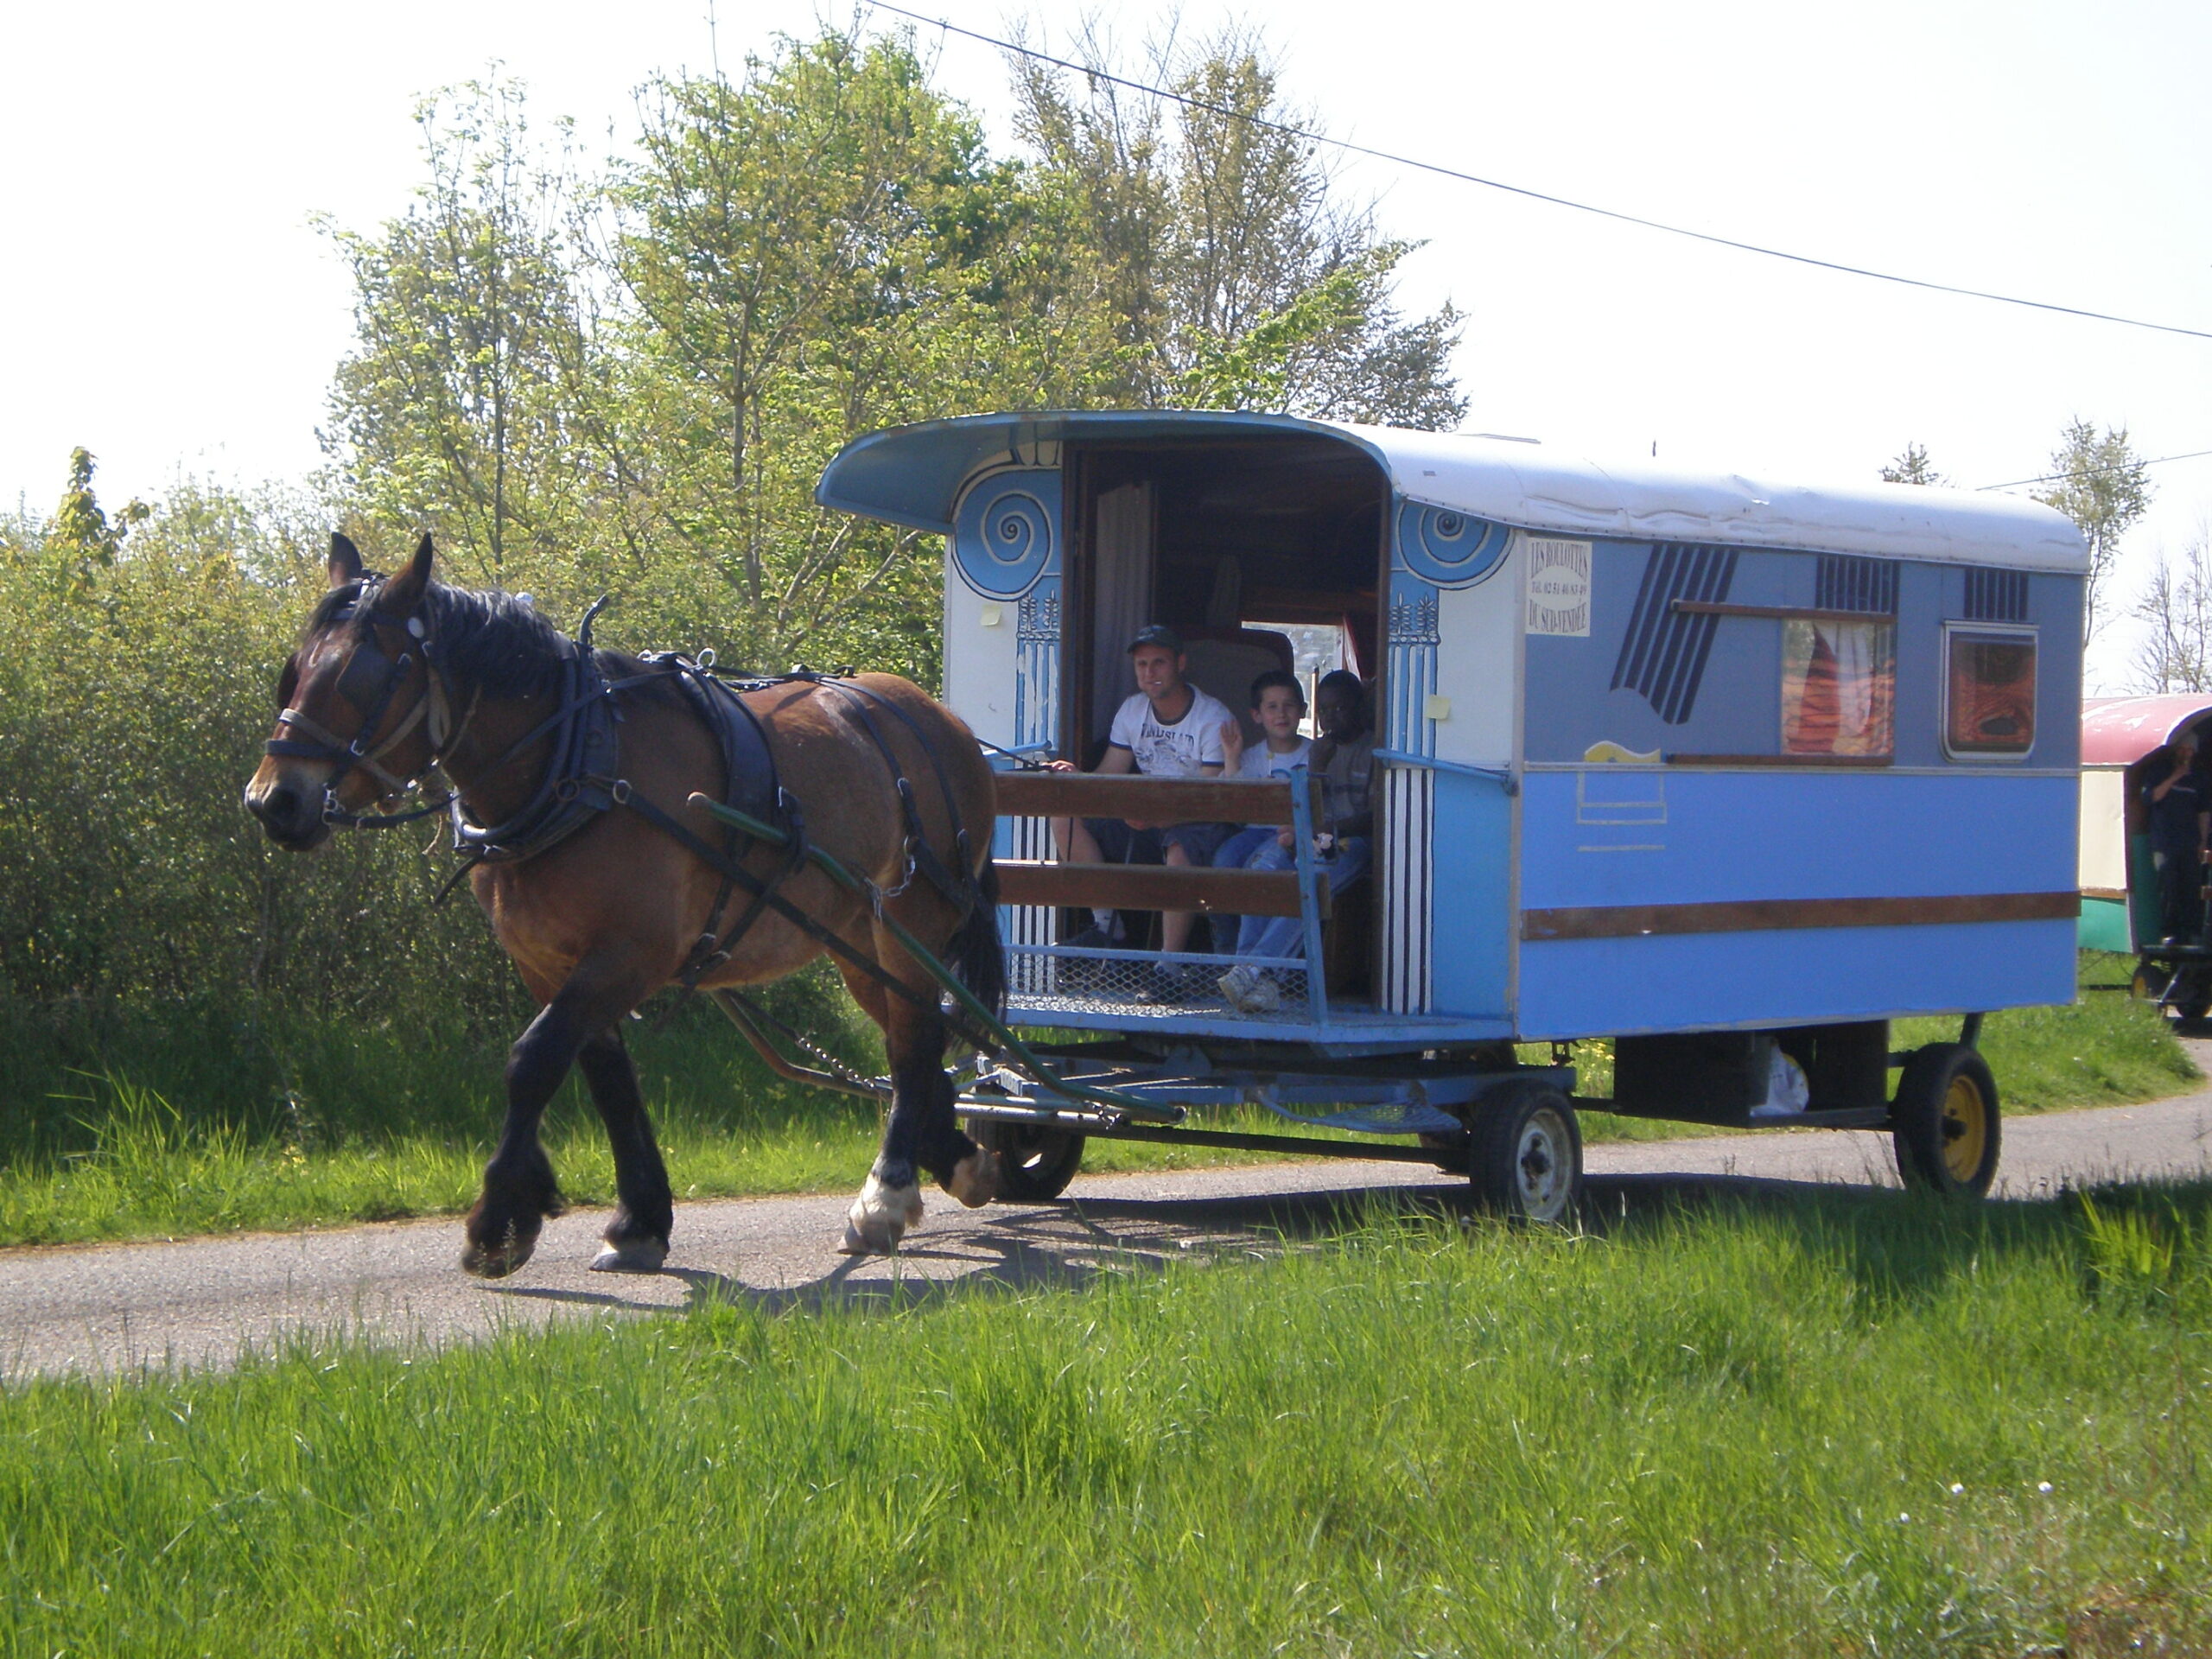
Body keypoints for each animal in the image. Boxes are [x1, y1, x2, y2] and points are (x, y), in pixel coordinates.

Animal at [246, 539, 1000, 1282]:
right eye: (295, 673)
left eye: (358, 679)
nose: (272, 801)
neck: (575, 765)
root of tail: (942, 719)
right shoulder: (549, 964)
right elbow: (606, 1081)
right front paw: (637, 1220)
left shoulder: (629, 955)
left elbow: (533, 1062)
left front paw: (498, 1222)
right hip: (858, 941)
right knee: (911, 1039)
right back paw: (950, 1157)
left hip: (912, 923)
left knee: (913, 1040)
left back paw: (887, 1193)